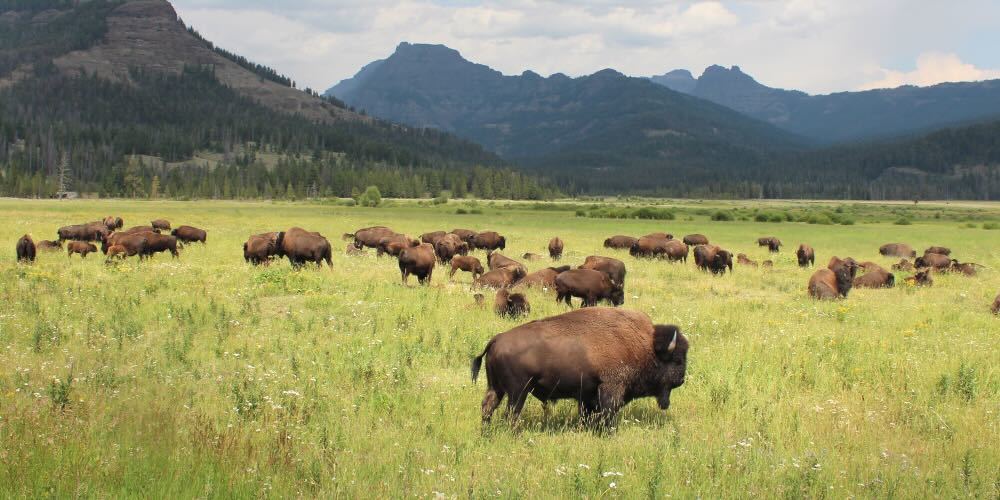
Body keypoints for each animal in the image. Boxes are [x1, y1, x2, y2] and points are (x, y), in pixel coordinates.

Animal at [471, 308, 688, 425]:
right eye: (677, 360)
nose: (681, 379)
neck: (646, 346)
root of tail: (497, 339)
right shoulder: (611, 388)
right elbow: (608, 413)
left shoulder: (587, 394)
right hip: (518, 391)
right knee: (511, 414)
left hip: (496, 387)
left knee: (488, 407)